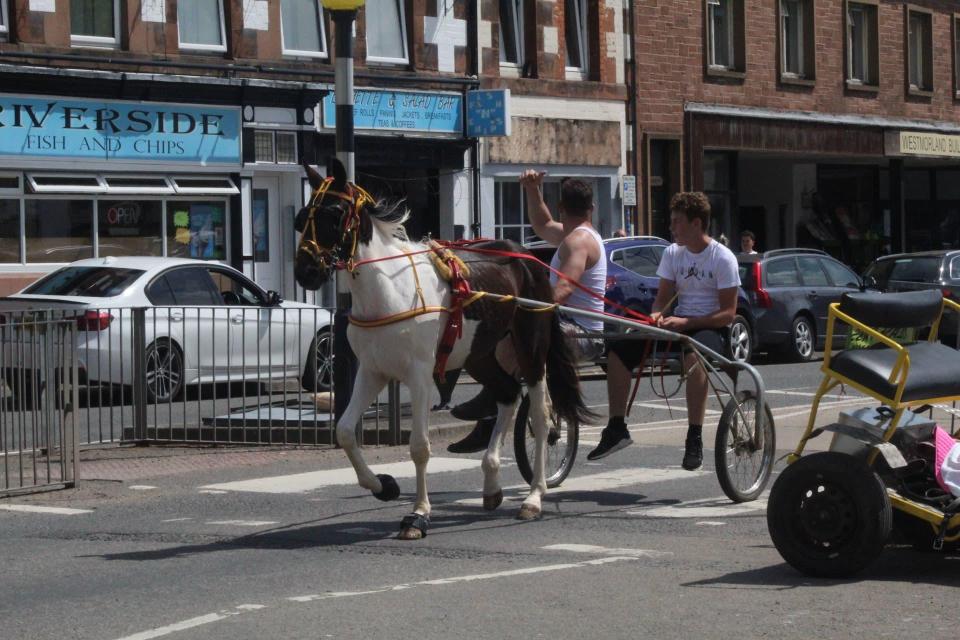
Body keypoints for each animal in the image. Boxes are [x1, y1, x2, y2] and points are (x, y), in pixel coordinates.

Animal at [294, 158, 592, 536]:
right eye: (302, 217)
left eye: (334, 214)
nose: (305, 271)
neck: (390, 288)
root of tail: (528, 257)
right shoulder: (373, 371)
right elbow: (345, 431)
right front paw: (384, 486)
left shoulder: (420, 375)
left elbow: (419, 447)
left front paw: (418, 514)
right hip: (480, 355)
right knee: (508, 395)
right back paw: (492, 483)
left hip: (531, 349)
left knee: (540, 416)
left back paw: (534, 496)